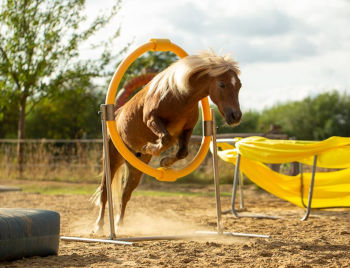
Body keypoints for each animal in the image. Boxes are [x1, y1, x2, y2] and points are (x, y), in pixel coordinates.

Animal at [91, 50, 242, 234]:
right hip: (112, 160)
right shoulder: (151, 120)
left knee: (125, 193)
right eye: (222, 84)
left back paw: (120, 225)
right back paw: (99, 227)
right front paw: (152, 148)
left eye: (239, 85)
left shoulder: (186, 131)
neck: (179, 98)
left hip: (135, 169)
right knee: (105, 192)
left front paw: (165, 161)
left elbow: (181, 151)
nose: (236, 116)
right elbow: (166, 138)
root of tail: (116, 113)